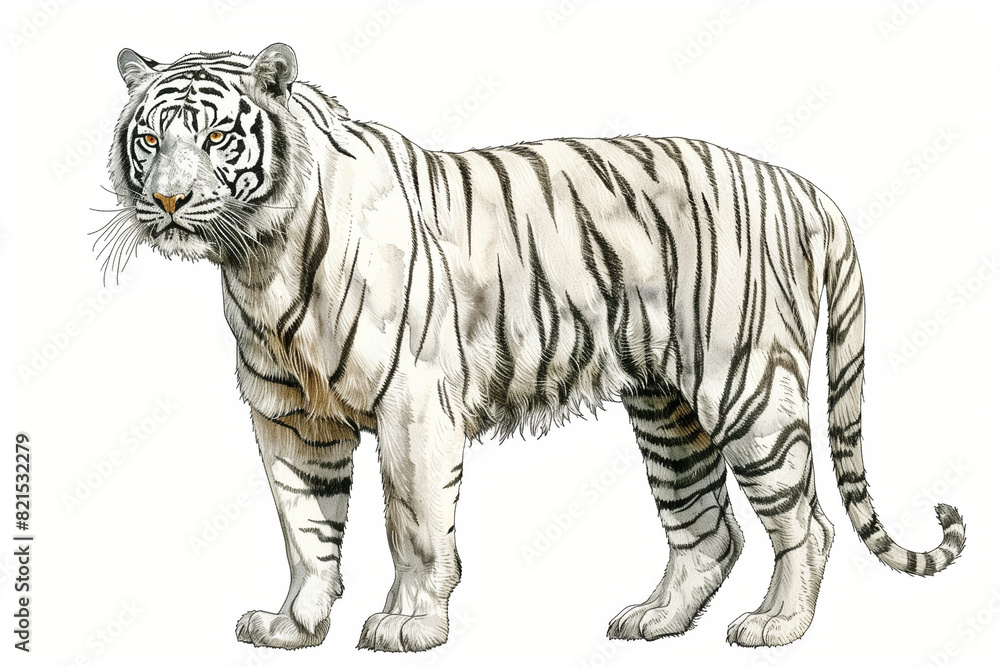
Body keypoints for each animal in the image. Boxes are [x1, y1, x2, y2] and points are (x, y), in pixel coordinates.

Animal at [102, 44, 966, 652]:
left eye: (217, 135)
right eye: (147, 138)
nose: (168, 201)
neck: (258, 257)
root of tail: (796, 184)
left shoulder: (413, 404)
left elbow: (415, 524)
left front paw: (410, 625)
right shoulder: (289, 414)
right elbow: (305, 527)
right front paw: (293, 627)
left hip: (744, 386)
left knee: (805, 522)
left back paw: (776, 627)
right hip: (667, 408)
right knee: (708, 527)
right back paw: (654, 619)